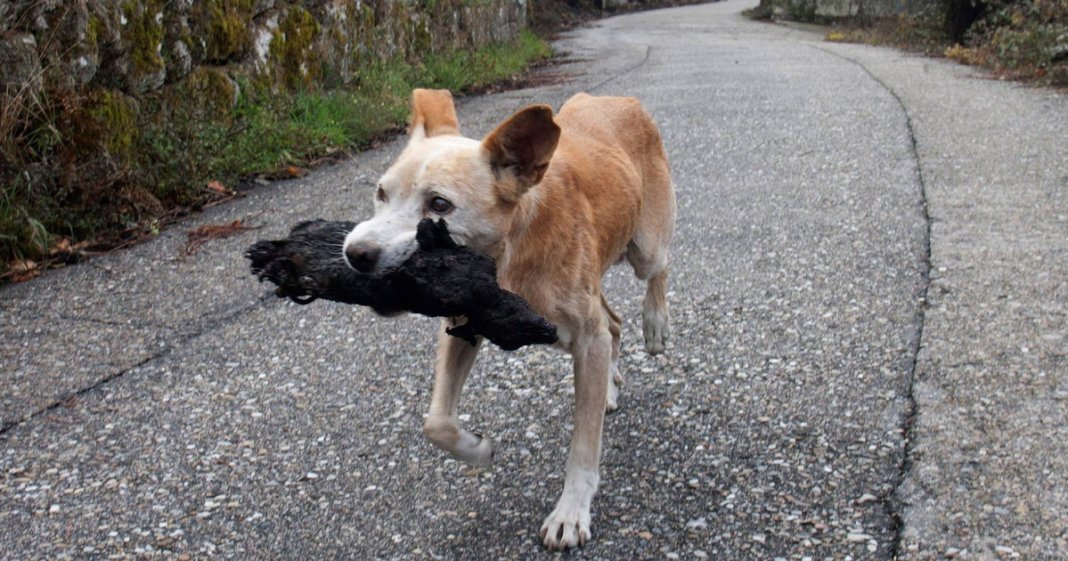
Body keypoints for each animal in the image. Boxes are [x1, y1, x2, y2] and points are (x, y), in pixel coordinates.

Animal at [341, 89, 674, 547]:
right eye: (381, 193)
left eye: (439, 204)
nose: (356, 253)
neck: (510, 253)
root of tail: (616, 98)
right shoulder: (460, 326)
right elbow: (436, 423)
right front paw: (477, 448)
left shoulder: (587, 338)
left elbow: (583, 446)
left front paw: (571, 511)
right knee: (613, 324)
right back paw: (607, 386)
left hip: (645, 246)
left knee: (656, 271)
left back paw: (655, 323)